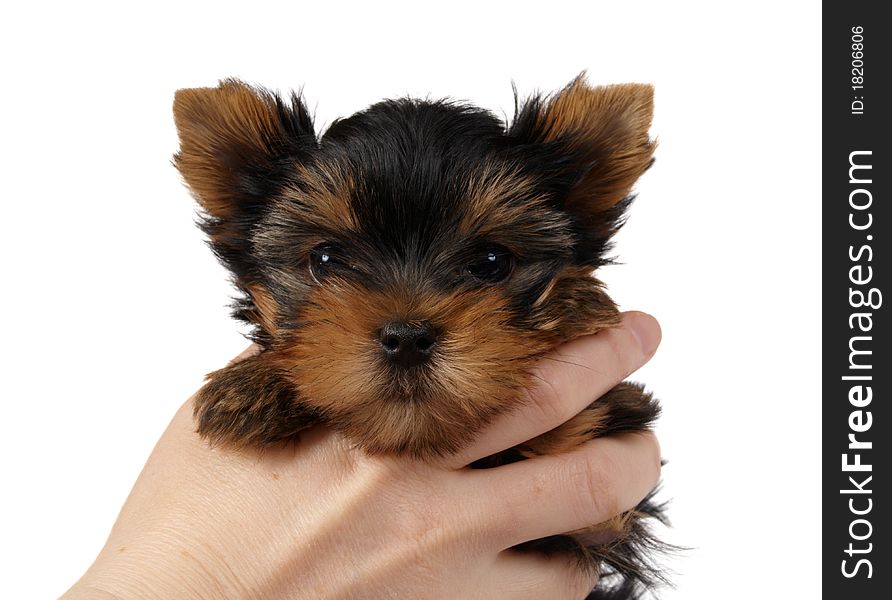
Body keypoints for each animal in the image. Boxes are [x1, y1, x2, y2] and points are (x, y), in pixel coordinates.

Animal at [172, 76, 664, 600]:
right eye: (325, 260)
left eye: (492, 262)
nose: (406, 337)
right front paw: (250, 388)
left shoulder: (598, 518)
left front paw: (577, 305)